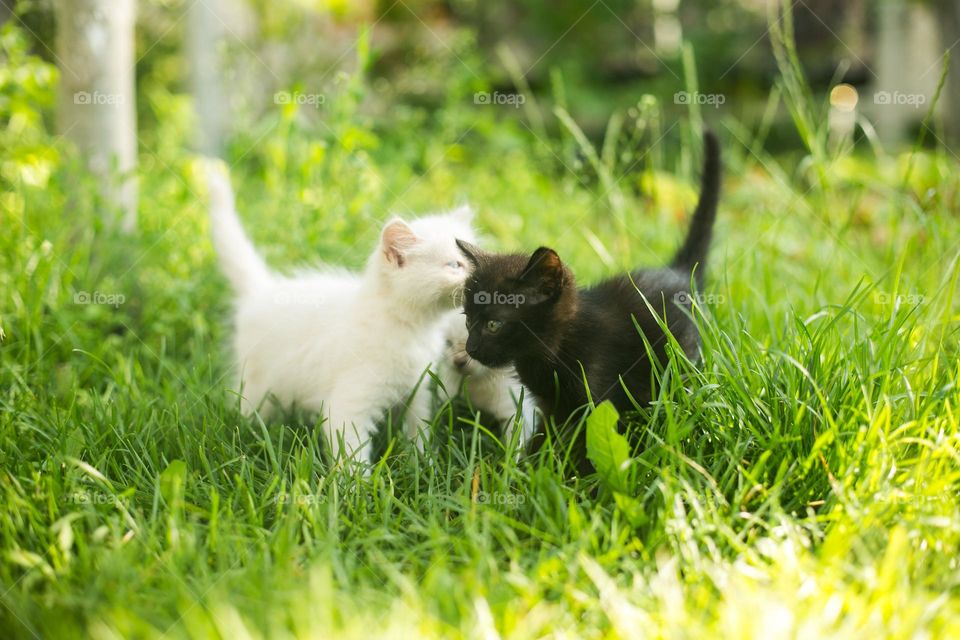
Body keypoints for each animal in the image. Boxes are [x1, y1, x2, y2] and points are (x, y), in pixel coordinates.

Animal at [204, 164, 474, 464]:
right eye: (455, 265)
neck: (414, 327)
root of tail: (264, 288)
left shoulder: (418, 391)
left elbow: (420, 430)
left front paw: (422, 462)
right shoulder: (350, 402)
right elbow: (351, 452)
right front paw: (358, 477)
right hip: (258, 383)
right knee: (249, 411)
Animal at [438, 312, 536, 448]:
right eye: (448, 343)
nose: (458, 361)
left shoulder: (516, 405)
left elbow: (515, 438)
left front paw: (508, 453)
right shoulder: (449, 398)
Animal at [458, 131, 720, 470]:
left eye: (494, 324)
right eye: (467, 319)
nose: (470, 348)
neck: (552, 349)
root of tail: (677, 271)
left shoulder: (598, 398)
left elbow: (590, 446)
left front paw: (582, 480)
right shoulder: (549, 404)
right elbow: (543, 437)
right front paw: (527, 469)